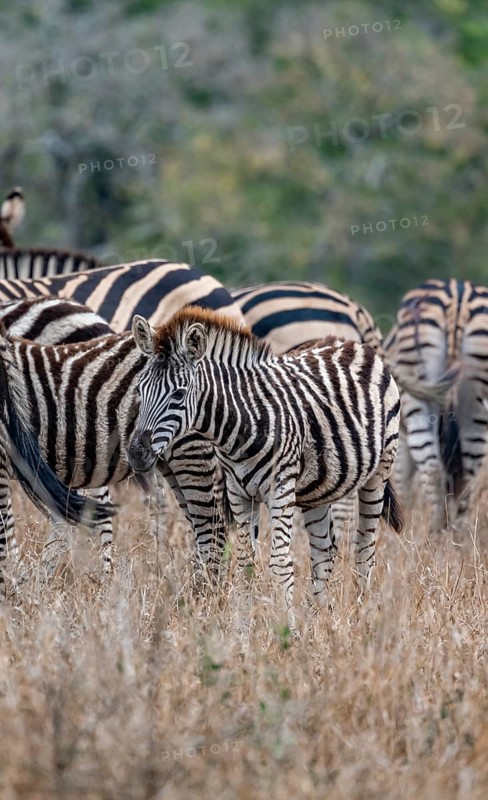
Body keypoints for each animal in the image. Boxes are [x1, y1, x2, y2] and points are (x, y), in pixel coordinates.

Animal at [127, 308, 404, 625]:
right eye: (140, 390)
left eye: (179, 394)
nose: (136, 453)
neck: (240, 425)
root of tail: (349, 343)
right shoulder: (238, 493)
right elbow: (246, 562)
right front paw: (243, 627)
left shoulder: (280, 489)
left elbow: (281, 563)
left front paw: (288, 629)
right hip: (317, 489)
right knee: (325, 550)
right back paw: (319, 618)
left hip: (379, 472)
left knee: (365, 548)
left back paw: (361, 614)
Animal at [384, 278, 488, 529]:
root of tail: (459, 298)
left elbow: (402, 481)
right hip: (476, 404)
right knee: (468, 474)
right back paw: (456, 535)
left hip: (418, 400)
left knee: (432, 470)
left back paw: (434, 531)